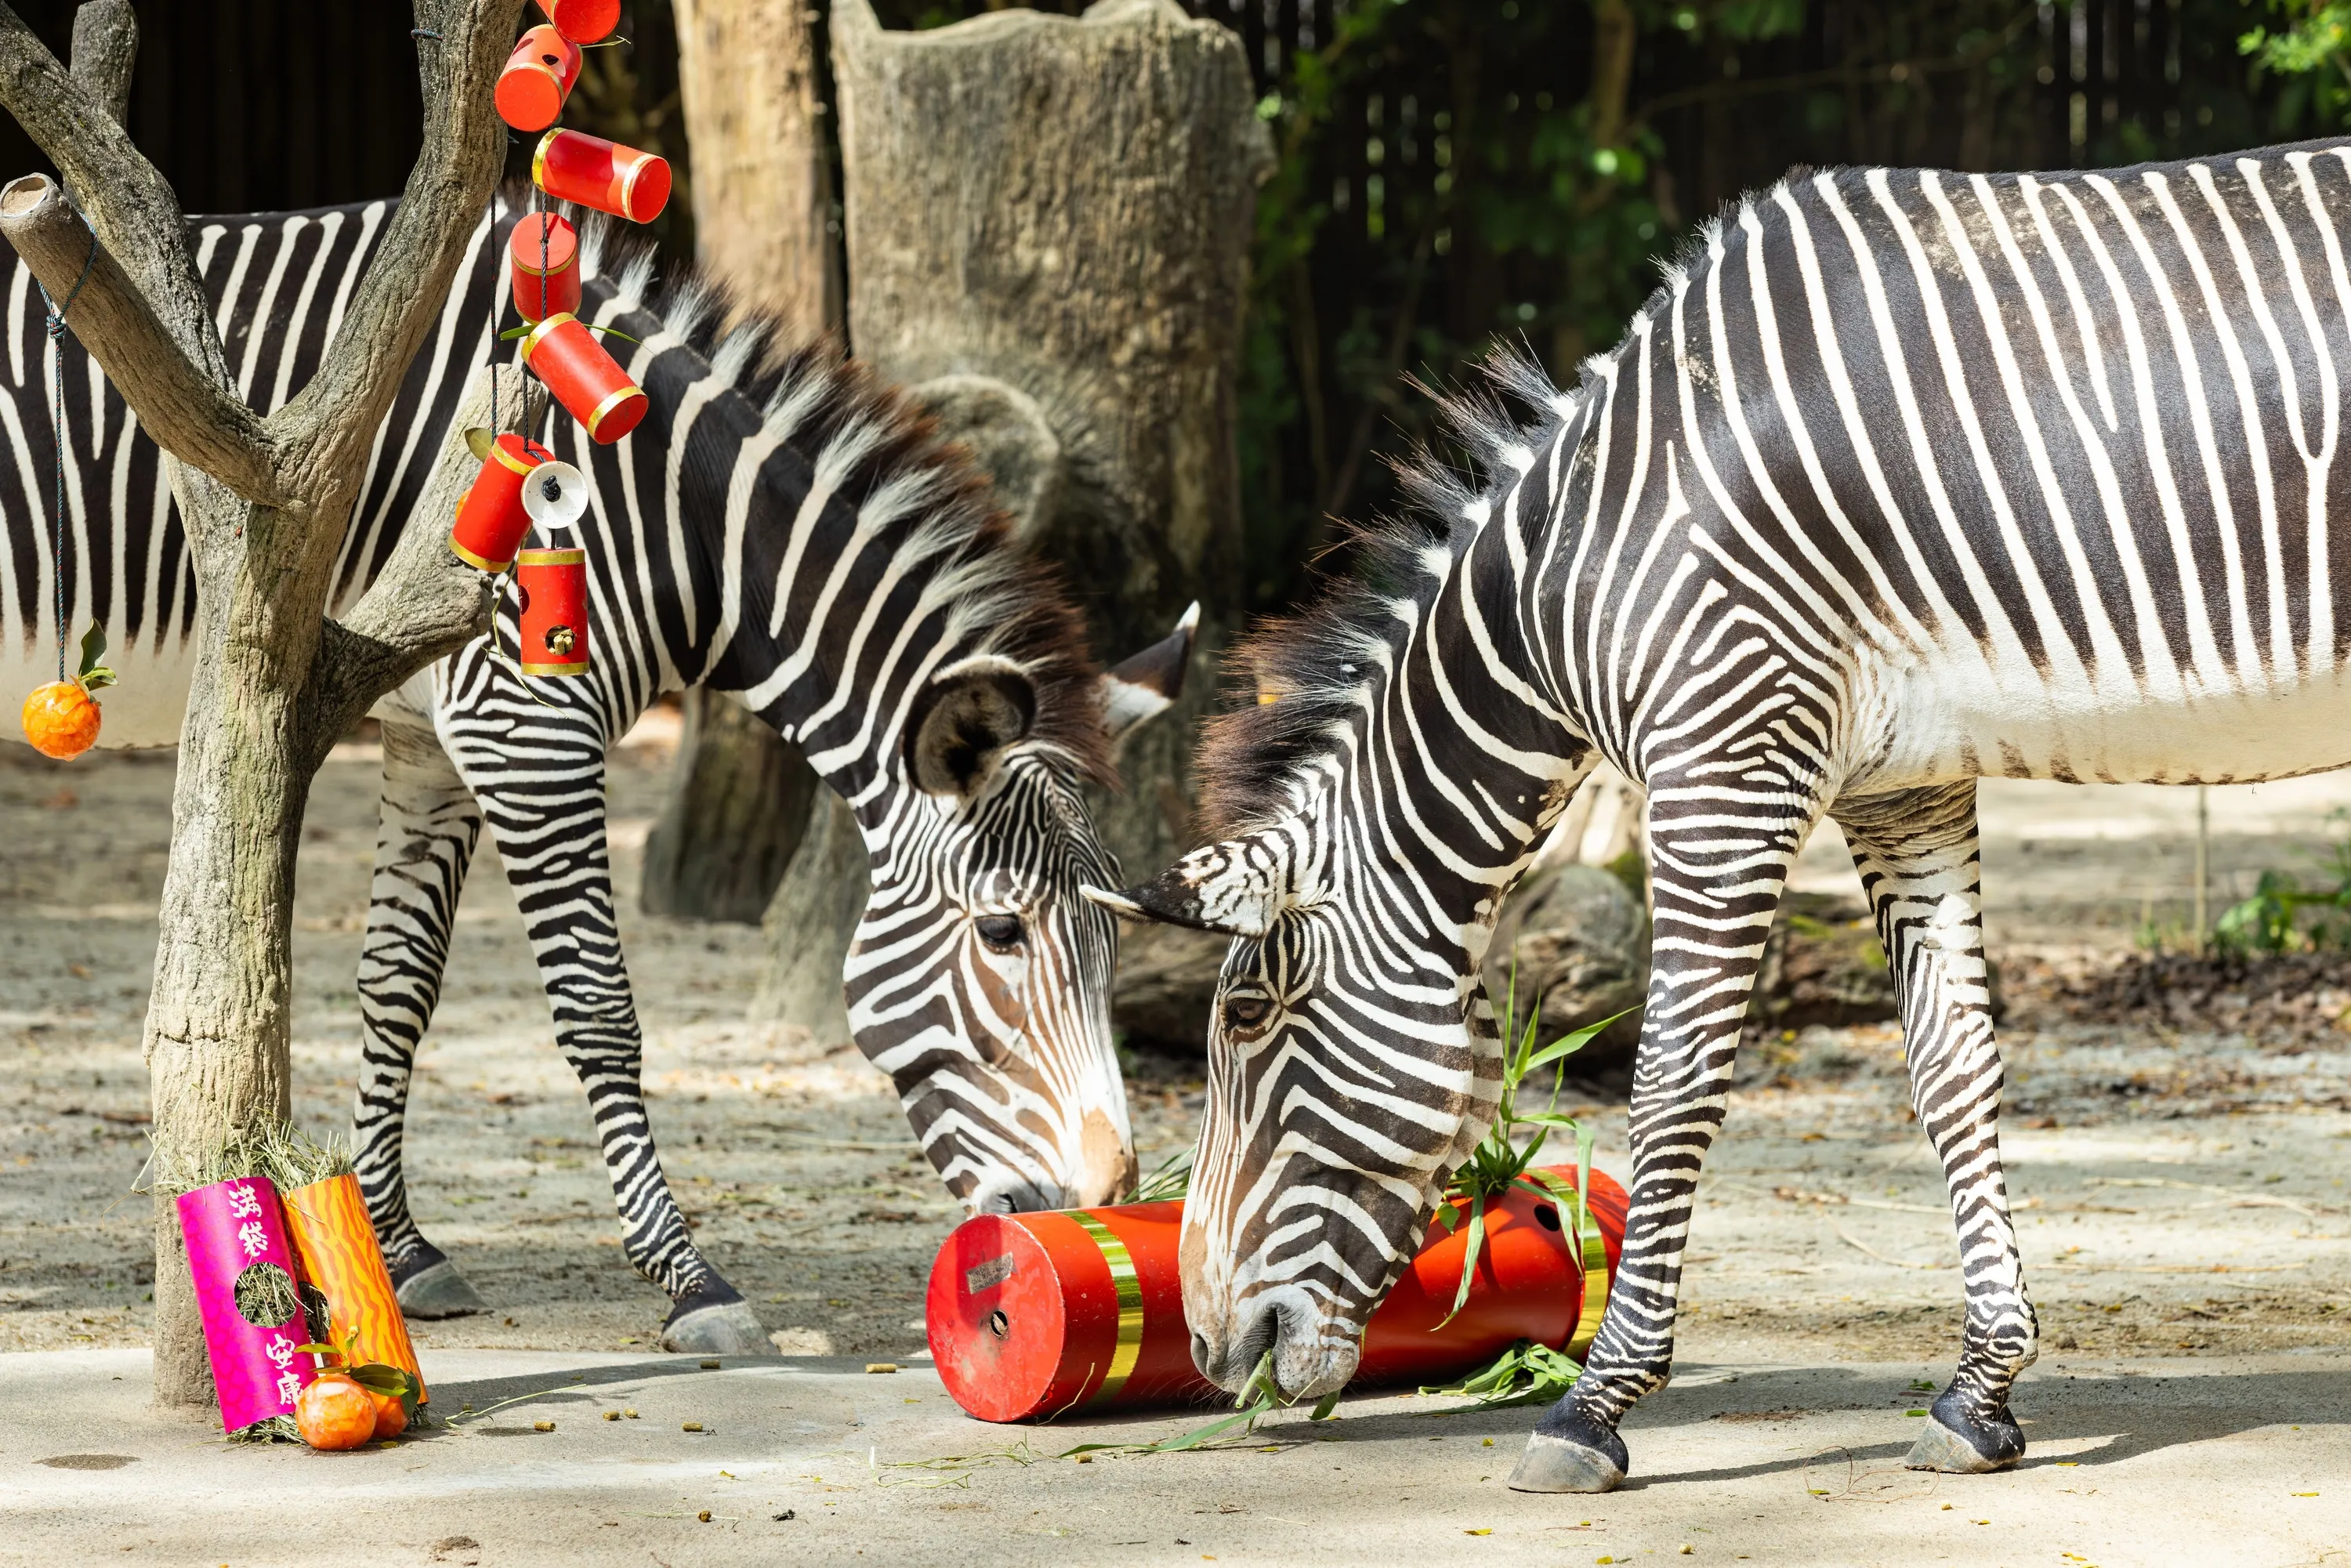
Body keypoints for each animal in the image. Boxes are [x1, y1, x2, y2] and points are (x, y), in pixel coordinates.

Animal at [4, 195, 1194, 1353]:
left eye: (1114, 941)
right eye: (1002, 933)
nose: (1107, 1195)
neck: (664, 510)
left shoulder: (430, 736)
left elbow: (398, 984)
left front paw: (400, 1247)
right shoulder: (524, 723)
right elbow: (598, 1007)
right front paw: (689, 1278)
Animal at [1093, 135, 2351, 1489]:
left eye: (1246, 1016)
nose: (1210, 1349)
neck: (1584, 561)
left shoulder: (1726, 759)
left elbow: (1672, 1082)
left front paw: (1592, 1407)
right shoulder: (1901, 780)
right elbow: (1951, 1064)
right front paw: (1981, 1393)